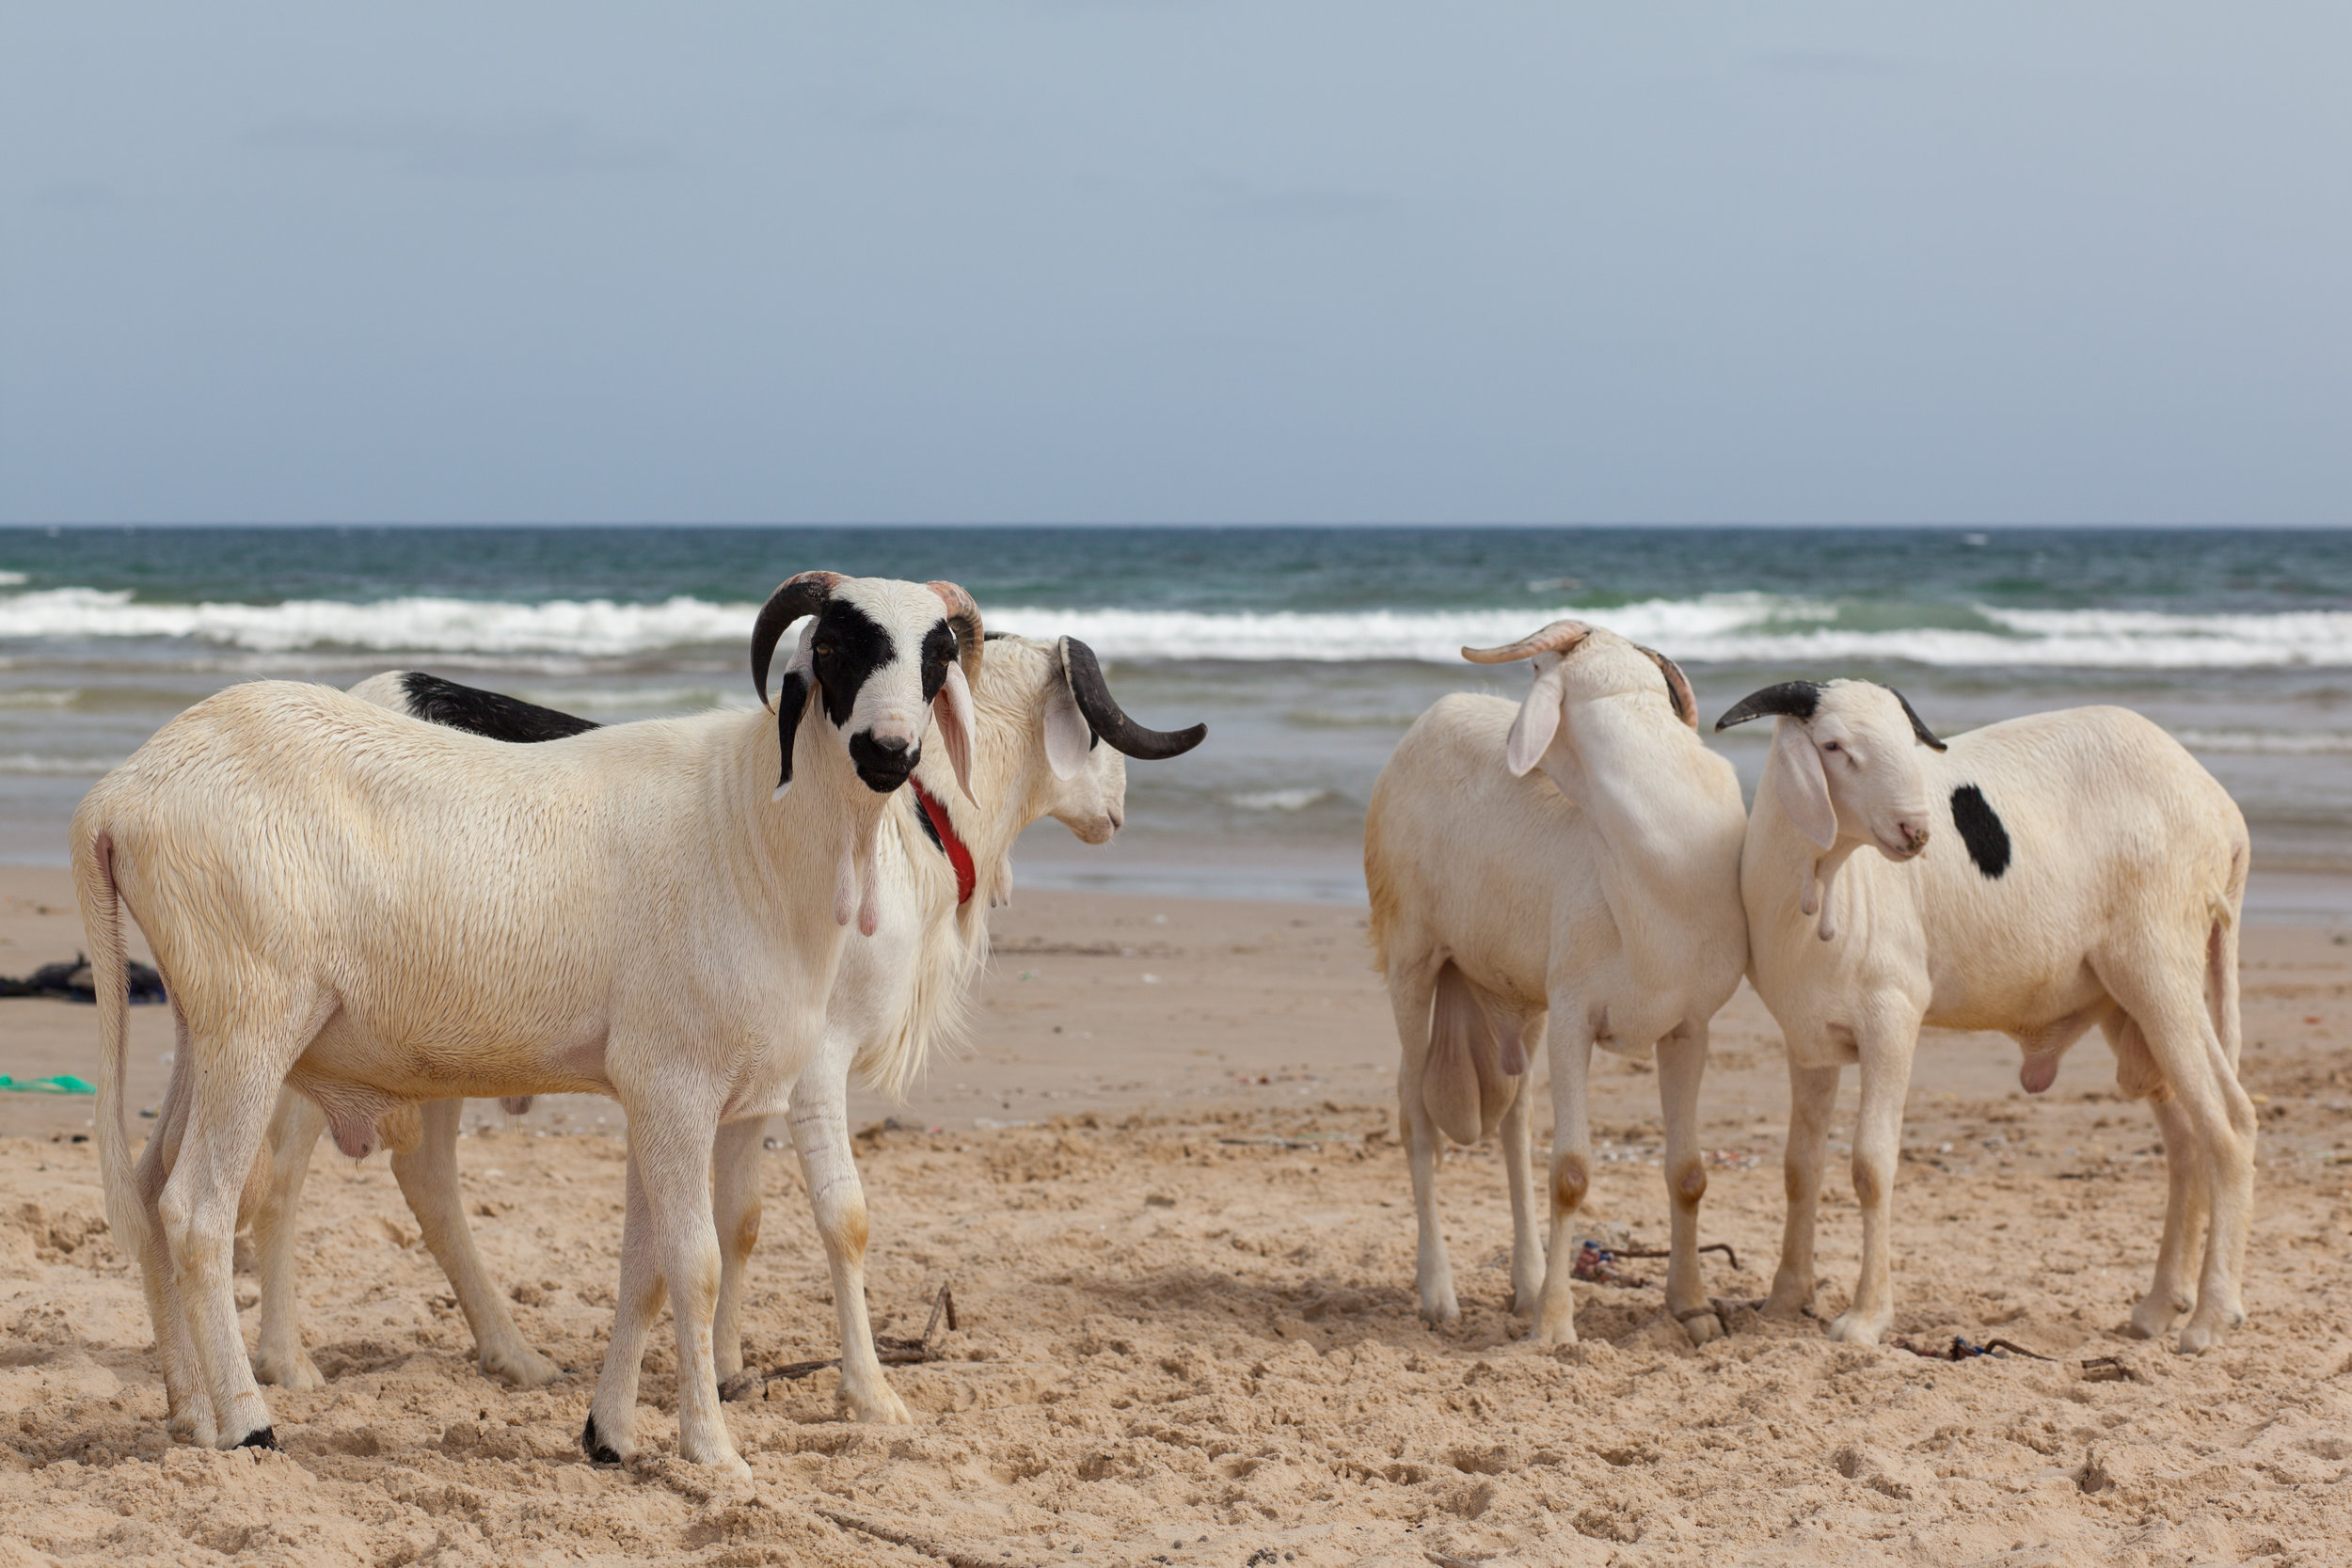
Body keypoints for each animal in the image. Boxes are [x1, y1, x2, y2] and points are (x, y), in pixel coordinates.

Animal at [1722, 681, 2249, 1354]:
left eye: (1906, 738)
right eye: (1834, 746)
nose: (1917, 831)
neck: (1826, 882)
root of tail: (2223, 813)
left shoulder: (1892, 1019)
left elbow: (1871, 1165)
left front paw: (1866, 1319)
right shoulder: (1807, 1040)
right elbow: (1799, 1167)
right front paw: (1785, 1300)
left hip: (2160, 969)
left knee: (2229, 1125)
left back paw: (2211, 1318)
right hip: (2129, 1002)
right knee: (2186, 1142)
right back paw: (2159, 1307)